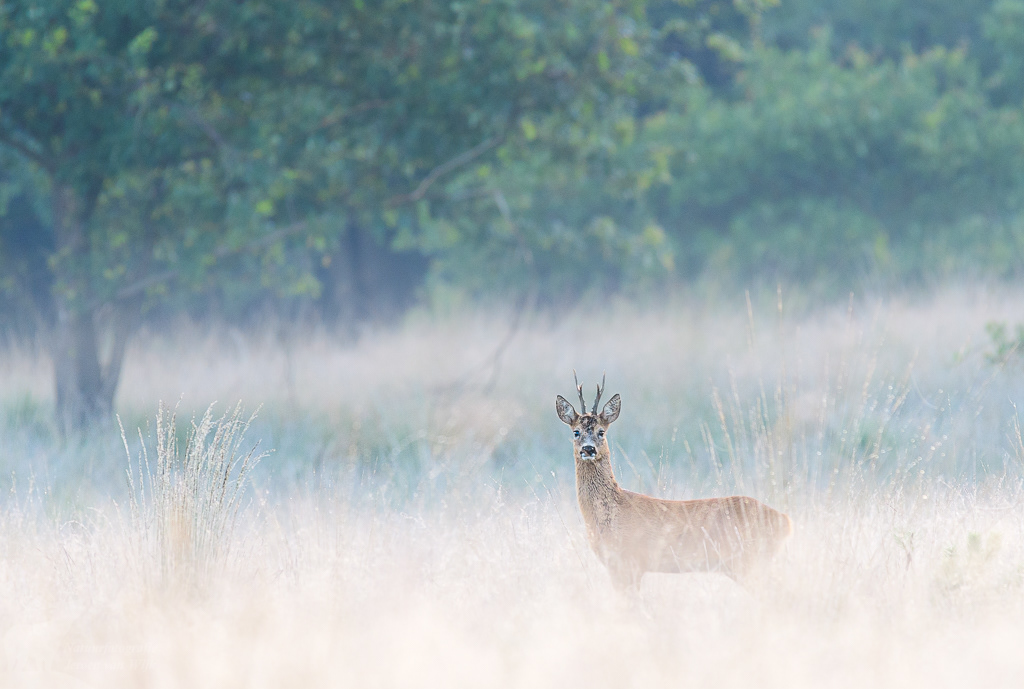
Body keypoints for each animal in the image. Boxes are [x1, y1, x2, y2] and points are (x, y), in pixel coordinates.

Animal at [556, 374, 793, 591]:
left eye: (601, 432)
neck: (609, 513)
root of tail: (785, 520)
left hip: (748, 561)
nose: (588, 449)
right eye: (576, 432)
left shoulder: (629, 562)